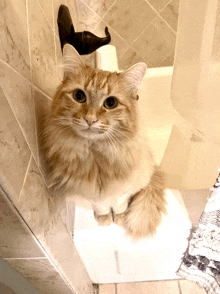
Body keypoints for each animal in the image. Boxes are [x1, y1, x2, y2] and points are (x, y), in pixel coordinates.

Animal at [43, 43, 167, 240]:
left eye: (110, 103)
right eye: (79, 96)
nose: (90, 119)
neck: (95, 157)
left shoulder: (123, 189)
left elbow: (119, 205)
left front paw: (120, 218)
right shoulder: (91, 193)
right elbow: (101, 207)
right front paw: (104, 219)